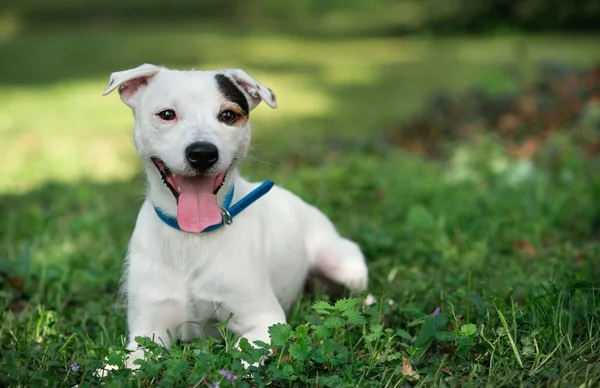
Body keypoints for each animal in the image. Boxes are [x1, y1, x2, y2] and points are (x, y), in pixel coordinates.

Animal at [101, 64, 372, 372]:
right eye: (167, 114)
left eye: (228, 115)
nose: (202, 153)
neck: (191, 238)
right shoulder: (148, 330)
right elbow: (119, 364)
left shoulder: (265, 321)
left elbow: (239, 359)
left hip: (341, 261)